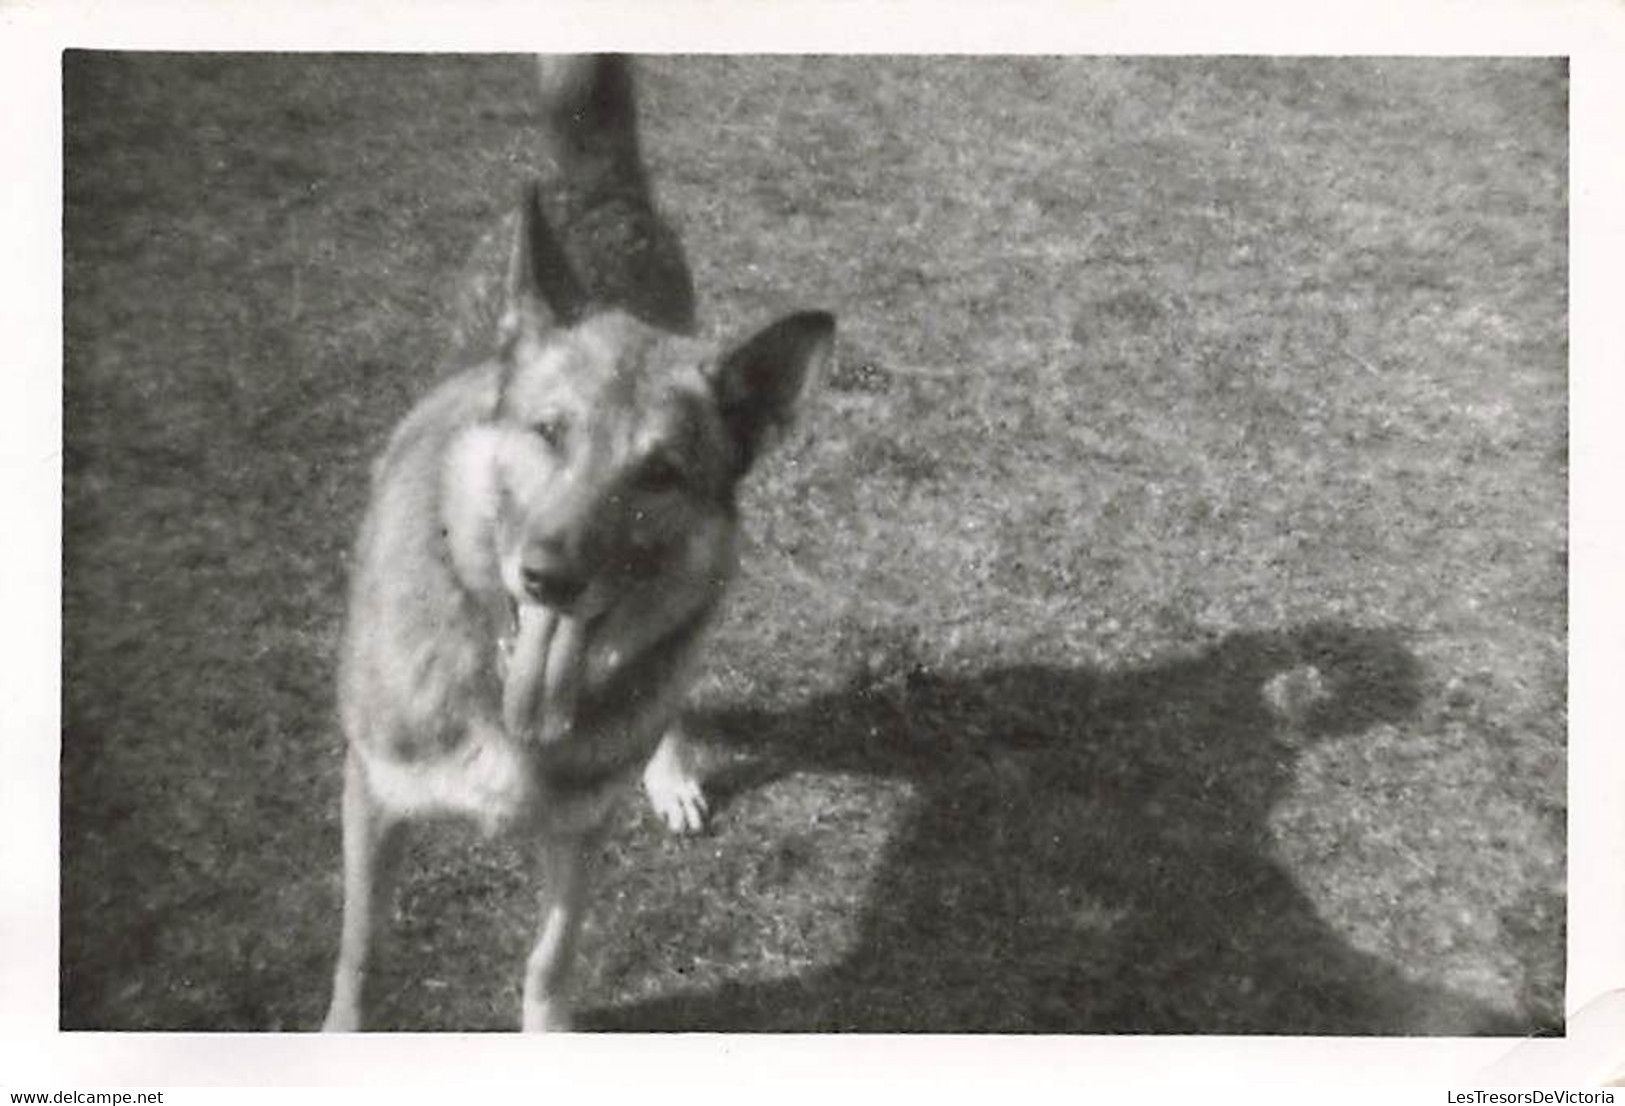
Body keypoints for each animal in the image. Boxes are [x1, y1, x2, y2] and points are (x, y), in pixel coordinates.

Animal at [325, 56, 845, 1032]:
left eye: (661, 474)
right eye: (548, 433)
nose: (550, 578)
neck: (502, 695)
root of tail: (592, 186)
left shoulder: (580, 830)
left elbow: (551, 956)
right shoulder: (372, 800)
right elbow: (362, 950)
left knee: (671, 701)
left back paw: (670, 769)